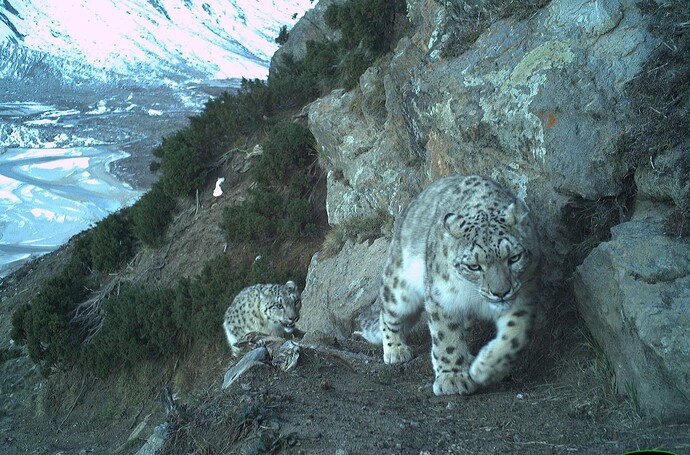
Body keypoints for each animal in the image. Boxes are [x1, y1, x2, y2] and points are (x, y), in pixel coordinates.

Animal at [359, 174, 540, 396]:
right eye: (474, 266)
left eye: (514, 258)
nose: (501, 293)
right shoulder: (442, 298)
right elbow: (447, 337)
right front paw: (452, 379)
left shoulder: (525, 294)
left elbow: (516, 335)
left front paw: (486, 368)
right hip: (400, 289)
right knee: (388, 314)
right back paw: (396, 349)